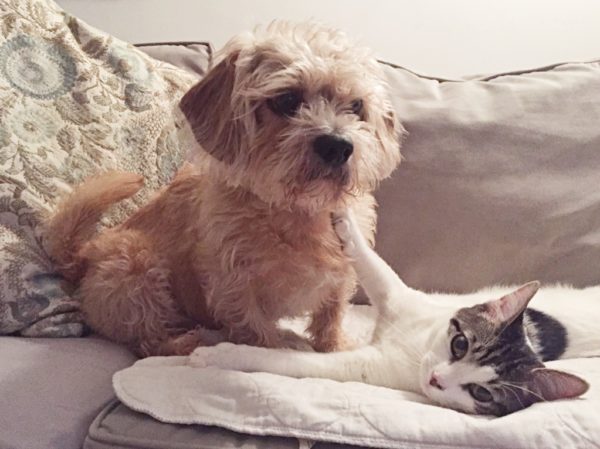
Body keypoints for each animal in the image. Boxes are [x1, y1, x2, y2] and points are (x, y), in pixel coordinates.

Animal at [44, 21, 404, 356]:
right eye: (287, 99)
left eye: (356, 105)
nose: (339, 146)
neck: (297, 211)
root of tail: (84, 255)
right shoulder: (233, 282)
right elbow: (252, 325)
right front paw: (272, 350)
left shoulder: (341, 273)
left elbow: (332, 312)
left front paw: (334, 346)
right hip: (135, 264)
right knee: (146, 339)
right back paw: (182, 343)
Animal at [192, 208, 600, 414]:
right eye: (460, 344)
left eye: (482, 394)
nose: (436, 379)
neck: (417, 347)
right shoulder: (398, 295)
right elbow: (373, 264)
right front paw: (343, 217)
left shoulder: (365, 366)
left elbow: (287, 361)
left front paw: (222, 355)